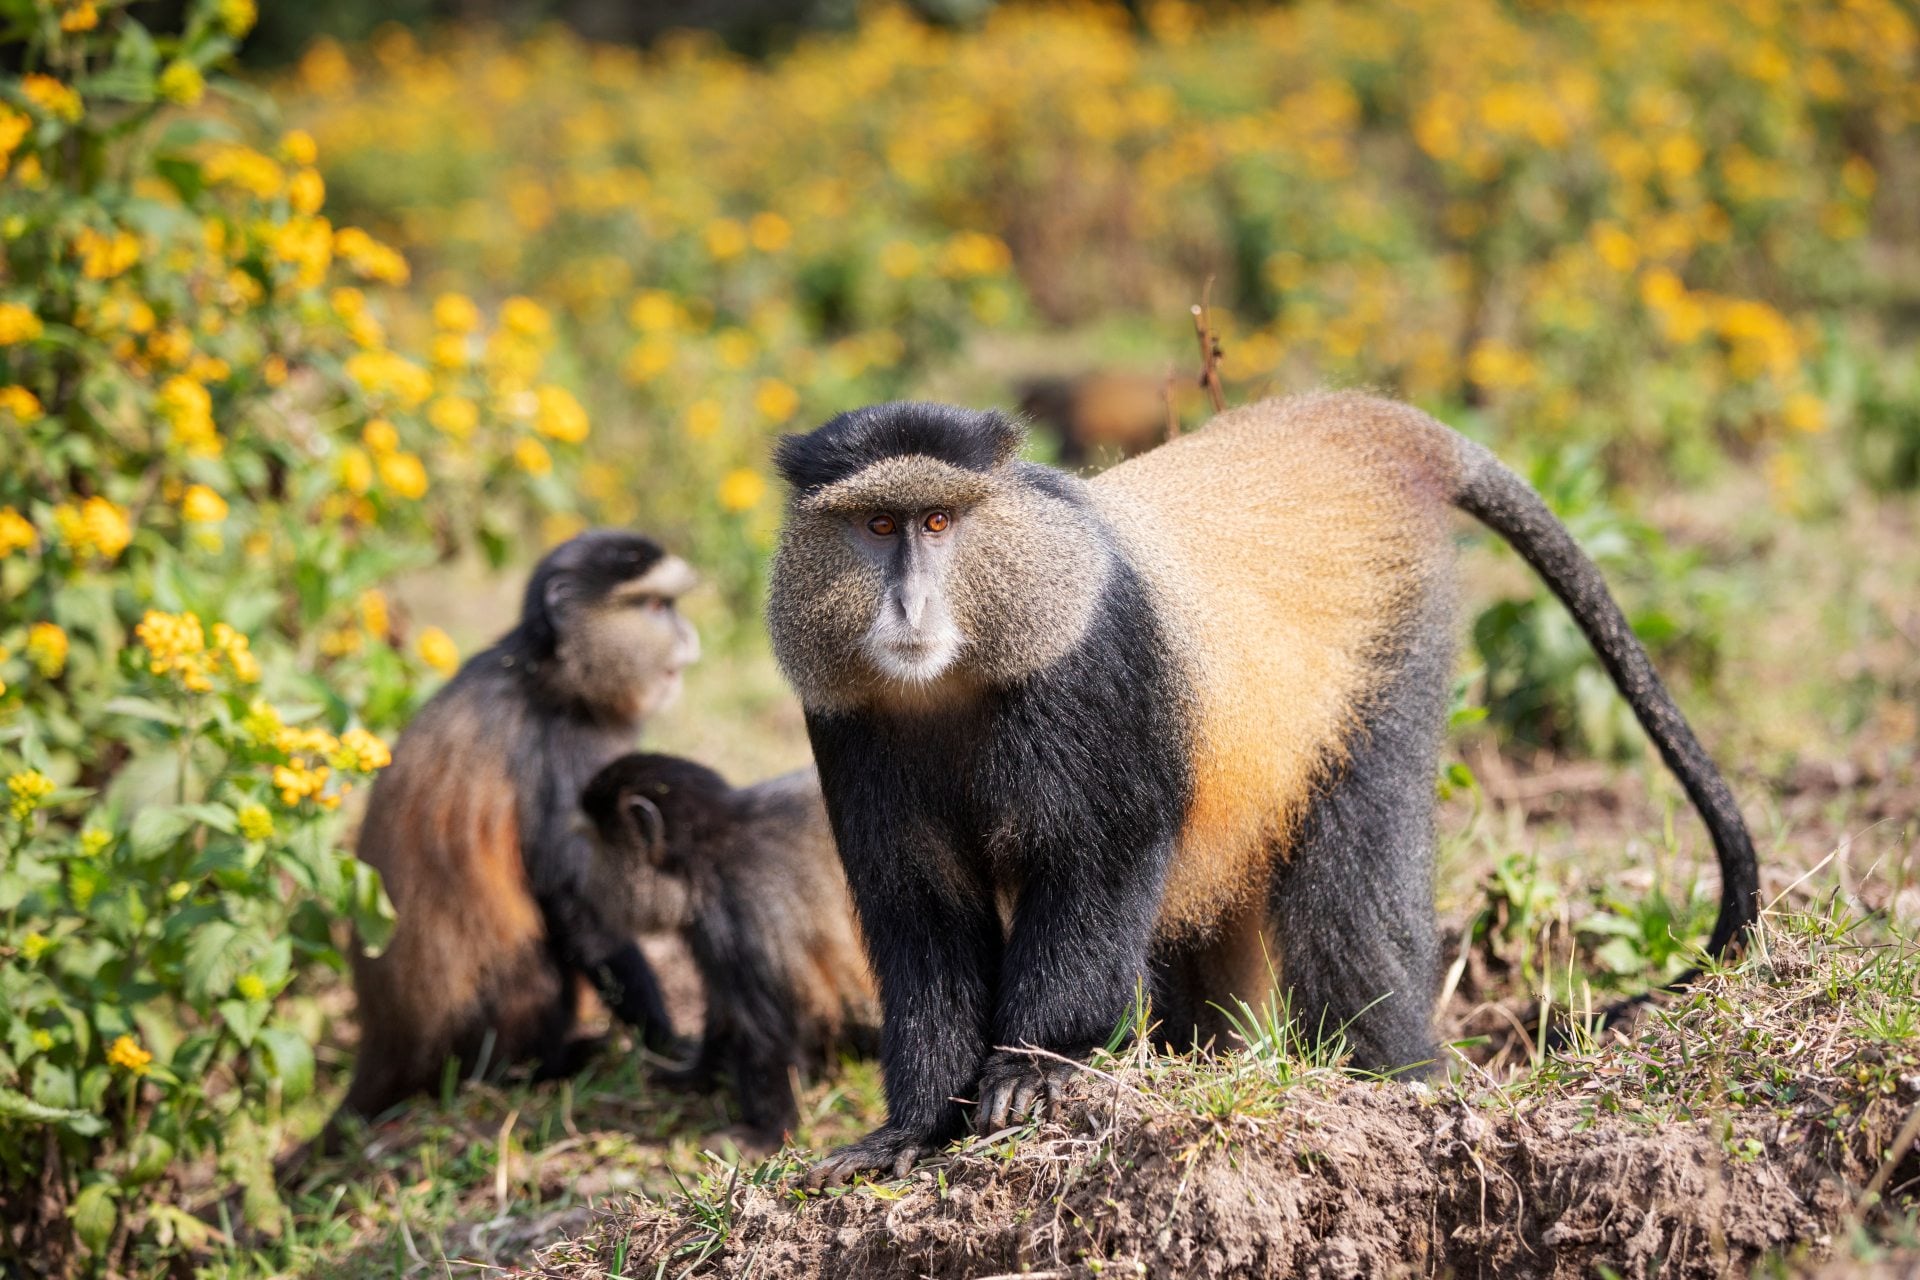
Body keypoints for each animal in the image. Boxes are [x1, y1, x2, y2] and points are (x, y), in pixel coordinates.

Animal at [336, 529, 701, 1125]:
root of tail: (383, 1049)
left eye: (669, 605)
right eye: (654, 607)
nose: (688, 637)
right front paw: (668, 1042)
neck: (548, 672)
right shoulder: (565, 751)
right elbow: (576, 902)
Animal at [579, 753, 879, 1147]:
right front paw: (694, 1075)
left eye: (596, 844)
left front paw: (766, 1132)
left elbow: (765, 1031)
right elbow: (724, 1007)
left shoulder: (738, 906)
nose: (585, 877)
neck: (708, 851)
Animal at [763, 394, 1761, 1186]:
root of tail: (1350, 424)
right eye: (877, 527)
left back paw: (1397, 1083)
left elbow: (1102, 859)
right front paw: (912, 1128)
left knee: (1353, 900)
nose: (908, 608)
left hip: (1388, 656)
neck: (958, 675)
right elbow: (920, 912)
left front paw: (1044, 1067)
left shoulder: (1092, 668)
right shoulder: (849, 725)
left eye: (938, 522)